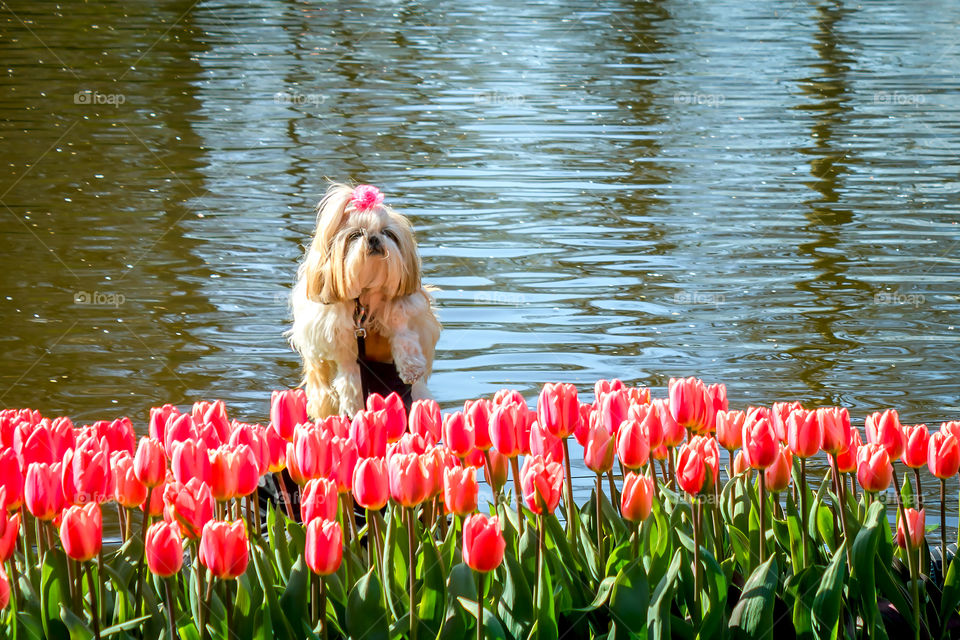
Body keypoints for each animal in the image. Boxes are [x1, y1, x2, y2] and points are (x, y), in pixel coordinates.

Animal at [286, 182, 440, 418]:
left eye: (387, 233)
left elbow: (403, 332)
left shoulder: (403, 304)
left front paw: (411, 367)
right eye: (356, 235)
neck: (366, 291)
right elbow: (350, 374)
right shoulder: (337, 336)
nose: (374, 238)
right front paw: (353, 403)